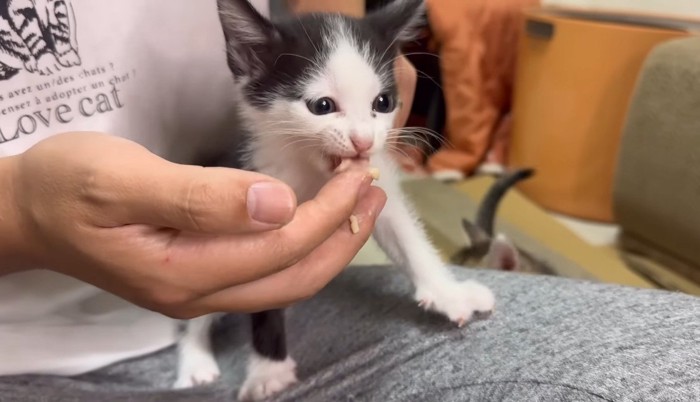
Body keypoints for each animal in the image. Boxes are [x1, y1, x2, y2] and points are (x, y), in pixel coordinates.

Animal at [174, 1, 492, 400]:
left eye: (383, 102)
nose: (363, 140)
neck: (312, 173)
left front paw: (447, 292)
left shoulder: (374, 181)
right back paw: (195, 360)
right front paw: (268, 373)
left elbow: (404, 232)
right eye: (322, 105)